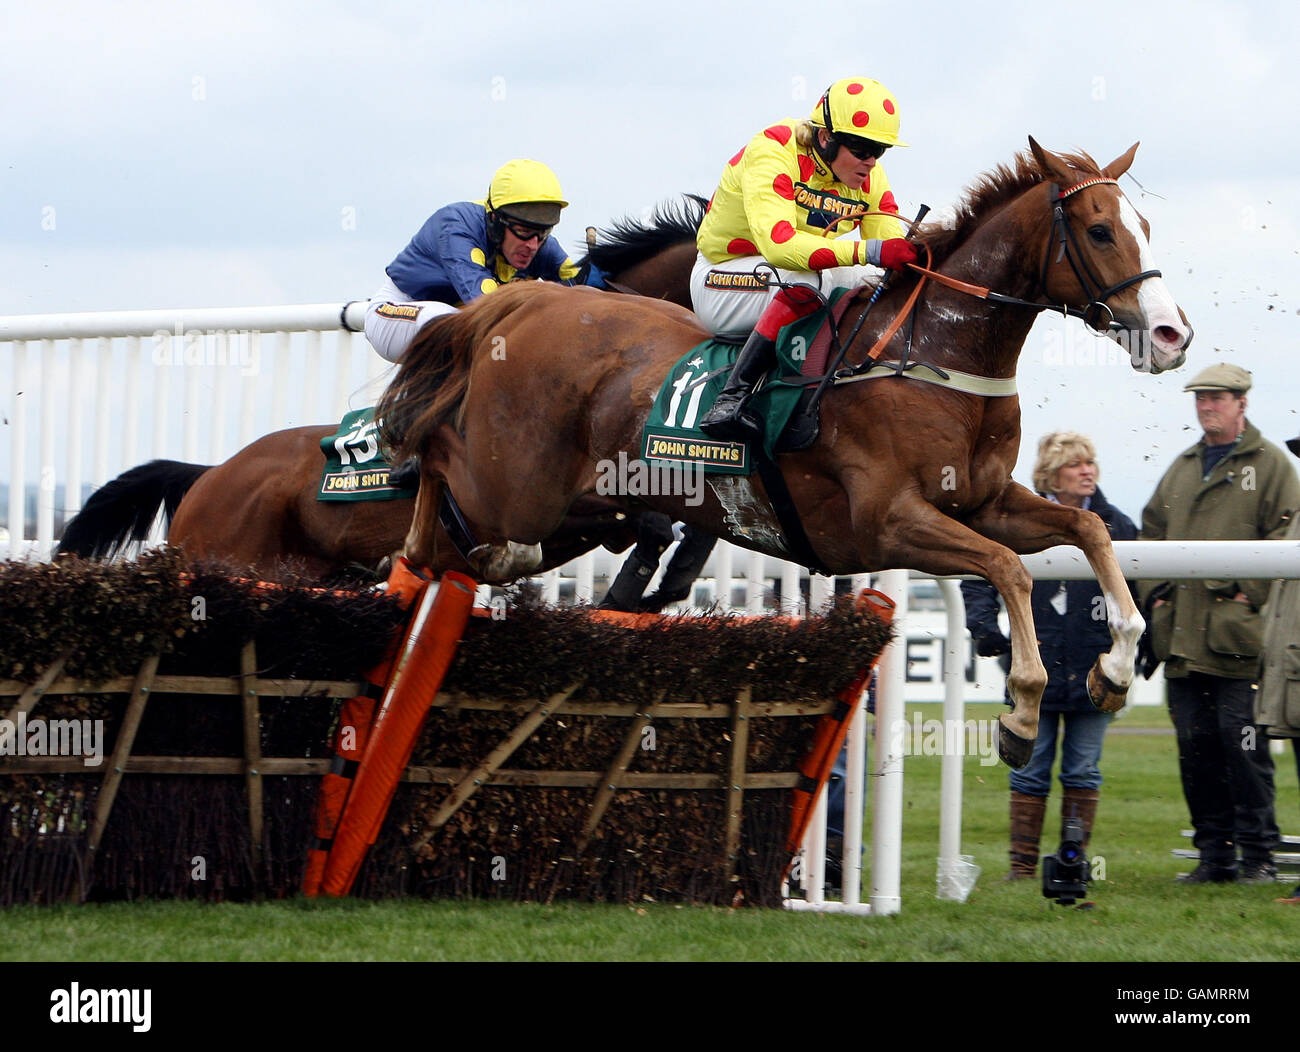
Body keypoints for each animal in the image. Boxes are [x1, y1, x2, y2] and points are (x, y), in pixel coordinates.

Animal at [377, 139, 1190, 764]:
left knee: (458, 536)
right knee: (441, 476)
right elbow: (1008, 571)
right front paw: (1022, 709)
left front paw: (1115, 667)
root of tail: (518, 300)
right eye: (1099, 232)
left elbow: (1087, 529)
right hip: (511, 484)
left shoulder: (983, 502)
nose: (1172, 335)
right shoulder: (886, 523)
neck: (933, 354)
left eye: (1147, 223)